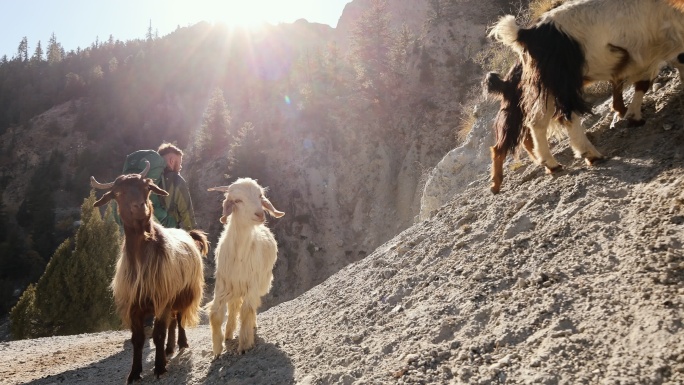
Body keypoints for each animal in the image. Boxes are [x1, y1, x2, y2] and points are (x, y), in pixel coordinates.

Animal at [92, 160, 207, 380]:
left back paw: (181, 343)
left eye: (146, 187)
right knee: (172, 322)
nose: (140, 207)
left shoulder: (161, 298)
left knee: (179, 319)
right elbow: (138, 339)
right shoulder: (134, 305)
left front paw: (160, 367)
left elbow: (158, 334)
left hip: (183, 292)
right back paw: (170, 348)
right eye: (118, 193)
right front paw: (134, 373)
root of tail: (187, 234)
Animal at [207, 177, 284, 356]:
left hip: (261, 282)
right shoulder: (222, 284)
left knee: (248, 307)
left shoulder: (252, 284)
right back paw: (228, 334)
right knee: (234, 306)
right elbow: (216, 314)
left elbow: (247, 310)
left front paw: (244, 344)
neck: (239, 255)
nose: (260, 214)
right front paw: (217, 349)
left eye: (260, 196)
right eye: (237, 200)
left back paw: (249, 327)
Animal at [488, 0, 684, 177]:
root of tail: (526, 33)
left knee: (537, 122)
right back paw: (591, 155)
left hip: (548, 87)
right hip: (563, 82)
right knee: (566, 117)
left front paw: (633, 116)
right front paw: (634, 116)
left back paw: (552, 165)